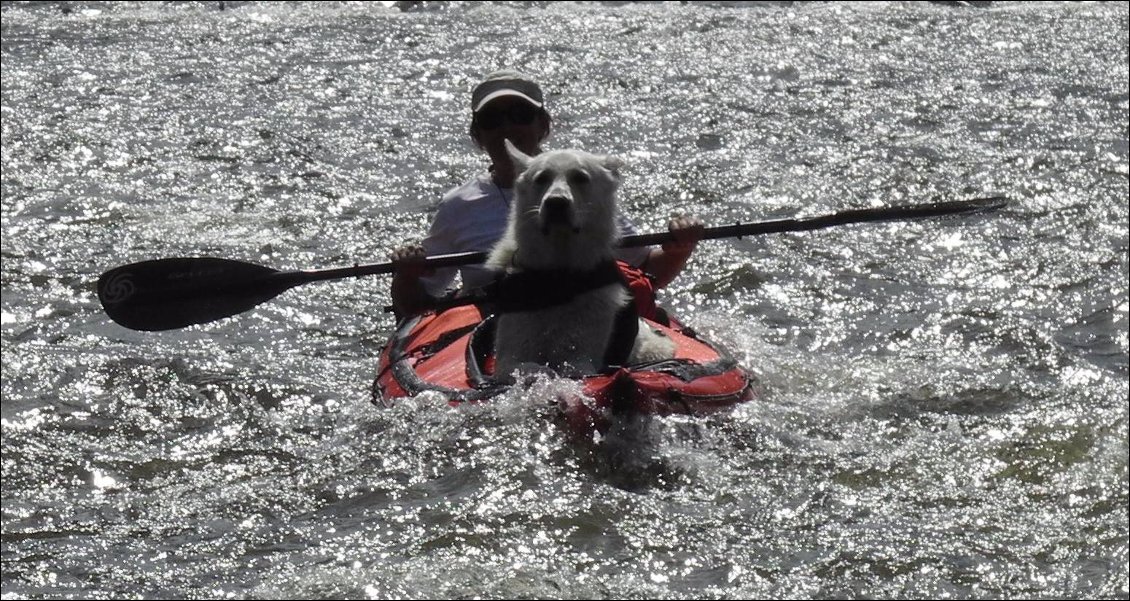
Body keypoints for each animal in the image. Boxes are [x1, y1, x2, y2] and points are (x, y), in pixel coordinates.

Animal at [483, 139, 668, 379]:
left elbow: (574, 367)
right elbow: (525, 366)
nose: (556, 203)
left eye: (580, 177)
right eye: (541, 178)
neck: (561, 279)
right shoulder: (510, 355)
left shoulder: (581, 357)